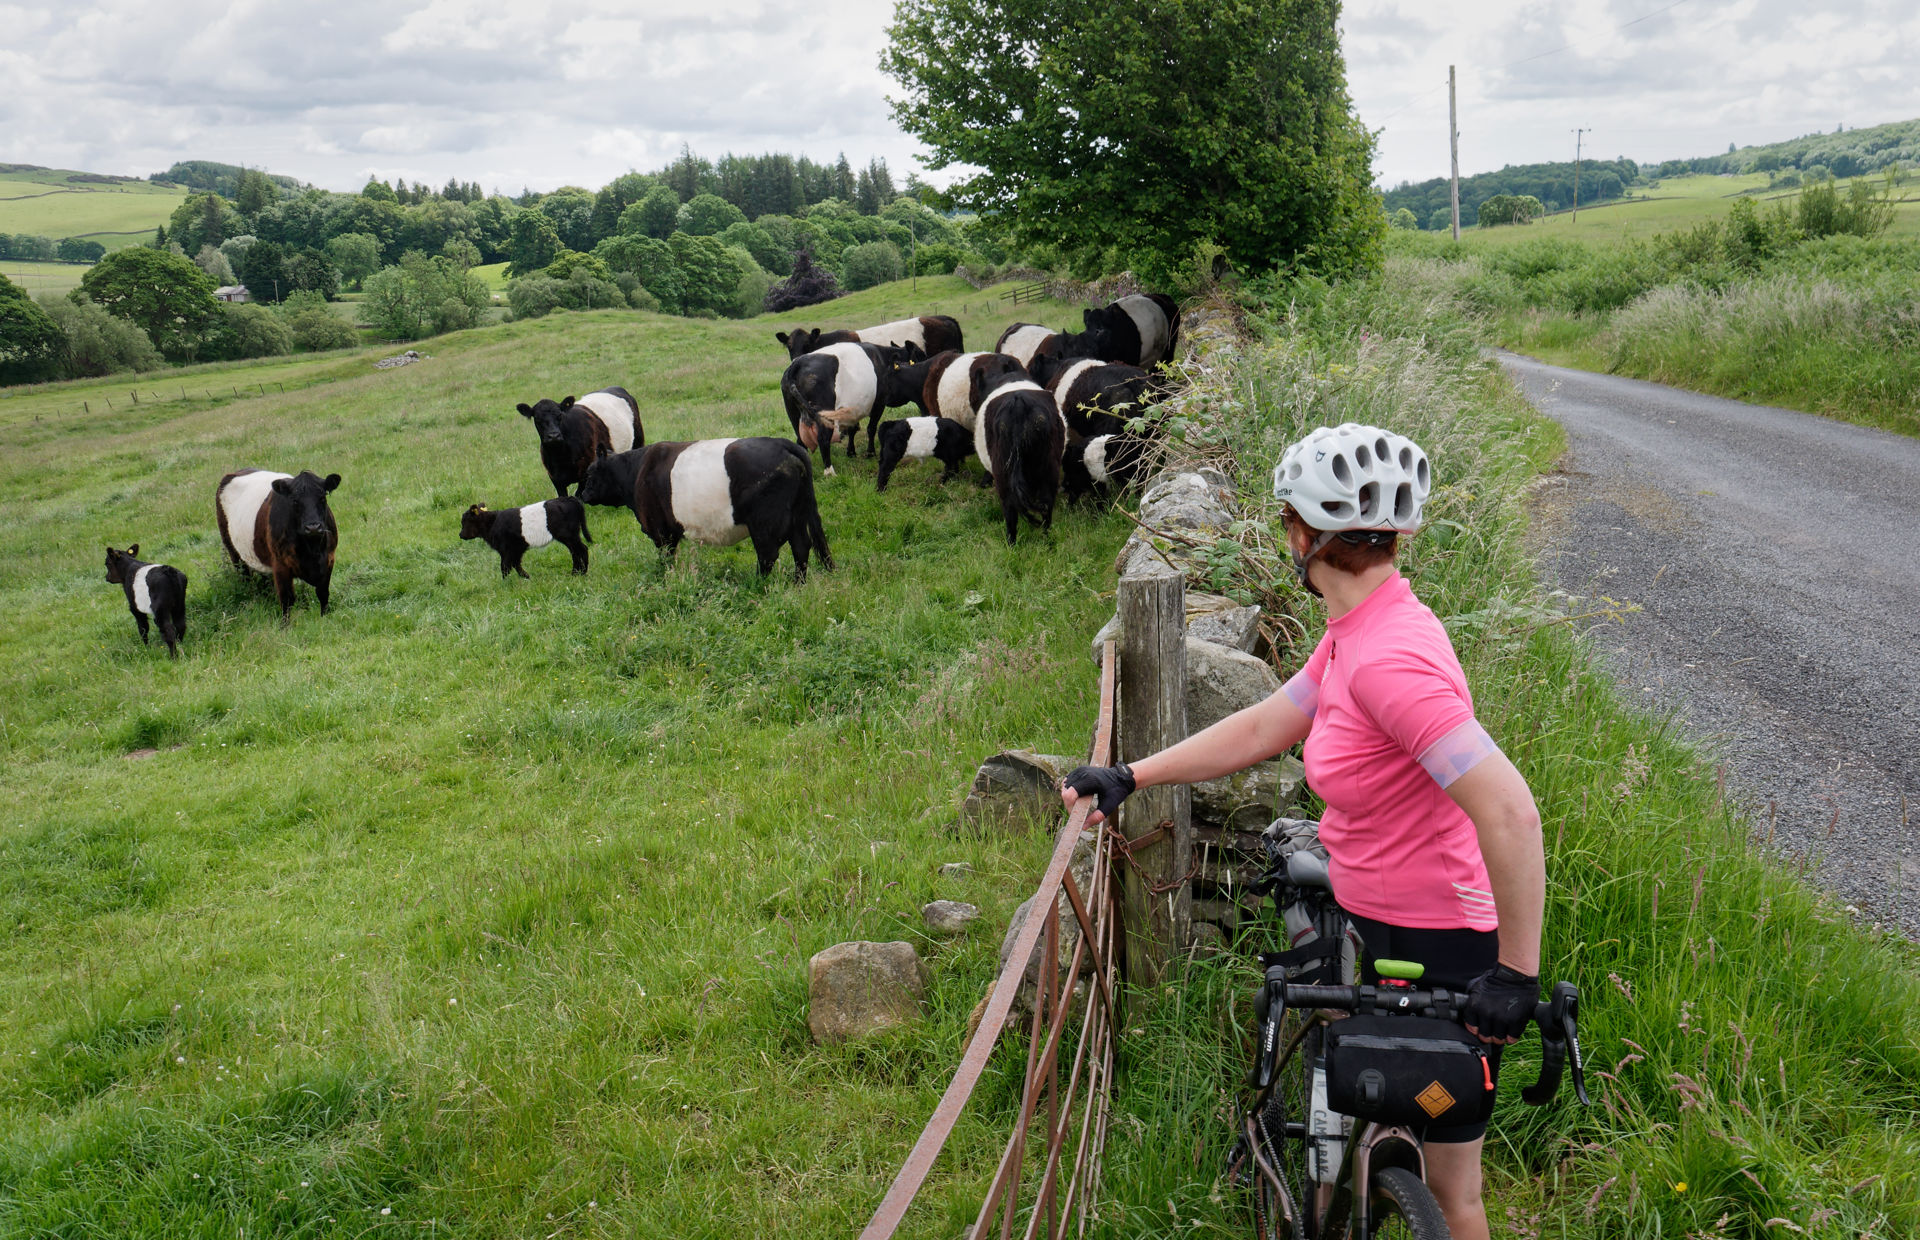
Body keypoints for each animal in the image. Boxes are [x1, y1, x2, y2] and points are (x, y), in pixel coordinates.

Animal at [458, 499, 591, 579]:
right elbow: (516, 564)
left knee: (581, 549)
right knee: (575, 552)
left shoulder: (507, 549)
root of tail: (569, 499)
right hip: (570, 537)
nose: (460, 535)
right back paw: (576, 573)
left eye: (465, 521)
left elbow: (505, 566)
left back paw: (581, 573)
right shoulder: (517, 549)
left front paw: (505, 583)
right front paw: (526, 577)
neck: (492, 522)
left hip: (568, 536)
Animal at [579, 439, 829, 579]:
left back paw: (757, 584)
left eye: (590, 473)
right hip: (797, 515)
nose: (580, 495)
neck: (636, 471)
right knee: (801, 547)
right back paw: (798, 583)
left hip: (764, 523)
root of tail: (783, 443)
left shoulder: (661, 531)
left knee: (768, 555)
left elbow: (665, 558)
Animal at [775, 339, 917, 472]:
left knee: (800, 441)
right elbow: (871, 428)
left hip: (794, 414)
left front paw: (851, 452)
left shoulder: (853, 409)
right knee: (823, 438)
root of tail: (797, 364)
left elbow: (852, 430)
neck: (883, 358)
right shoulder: (879, 403)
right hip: (824, 413)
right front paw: (870, 453)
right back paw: (830, 472)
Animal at [975, 368, 1067, 545]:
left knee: (1010, 509)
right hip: (1049, 467)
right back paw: (1047, 540)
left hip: (1002, 471)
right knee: (1046, 504)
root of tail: (1018, 402)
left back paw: (1011, 544)